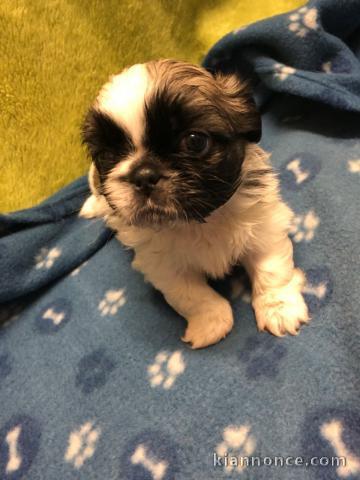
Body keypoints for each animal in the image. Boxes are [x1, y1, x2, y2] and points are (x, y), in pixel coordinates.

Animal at [80, 60, 308, 348]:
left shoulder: (264, 226)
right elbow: (192, 296)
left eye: (195, 141)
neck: (198, 221)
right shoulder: (162, 267)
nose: (143, 175)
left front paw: (279, 308)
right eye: (108, 155)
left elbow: (272, 270)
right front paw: (210, 323)